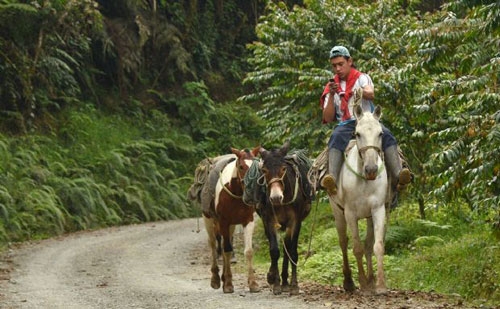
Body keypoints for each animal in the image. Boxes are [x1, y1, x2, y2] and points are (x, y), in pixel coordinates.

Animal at [200, 146, 260, 292]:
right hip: (208, 219)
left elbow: (248, 251)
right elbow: (226, 250)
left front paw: (253, 283)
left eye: (256, 167)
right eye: (241, 166)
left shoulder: (248, 221)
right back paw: (216, 279)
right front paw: (228, 284)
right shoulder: (223, 222)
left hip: (231, 226)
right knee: (213, 244)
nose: (251, 194)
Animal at [256, 141, 310, 294]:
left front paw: (294, 285)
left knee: (288, 247)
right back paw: (276, 279)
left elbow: (292, 252)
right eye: (264, 170)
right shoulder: (270, 220)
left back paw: (286, 282)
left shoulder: (295, 221)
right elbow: (274, 251)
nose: (275, 198)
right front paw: (274, 282)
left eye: (284, 168)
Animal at [330, 104, 392, 294]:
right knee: (343, 243)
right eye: (357, 134)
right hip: (338, 212)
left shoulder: (378, 210)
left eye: (380, 133)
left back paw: (371, 280)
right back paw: (349, 282)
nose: (371, 169)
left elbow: (377, 246)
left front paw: (380, 285)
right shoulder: (350, 213)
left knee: (368, 245)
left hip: (369, 217)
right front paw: (363, 284)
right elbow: (356, 248)